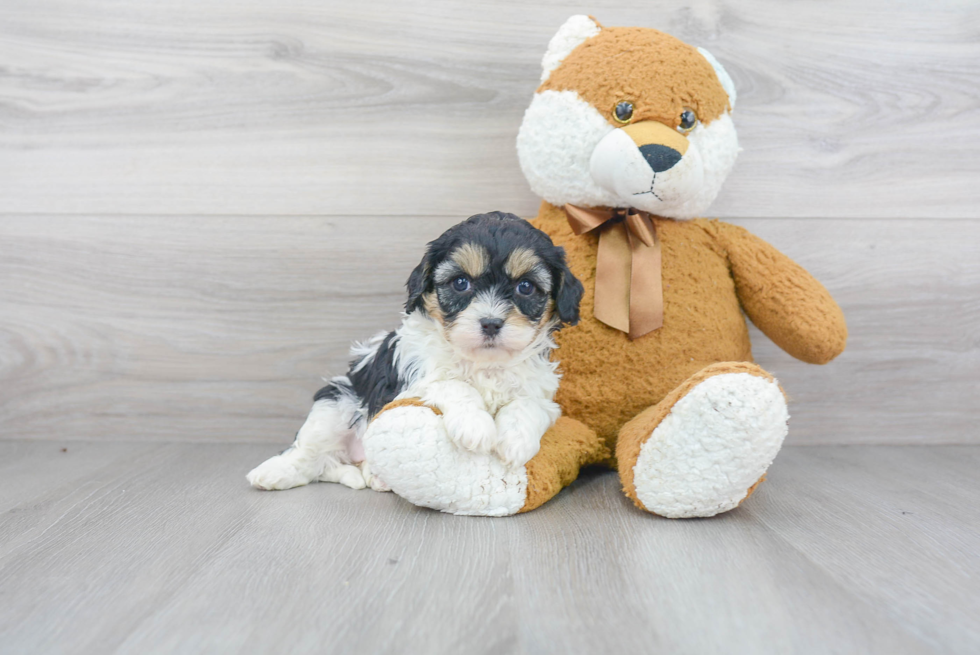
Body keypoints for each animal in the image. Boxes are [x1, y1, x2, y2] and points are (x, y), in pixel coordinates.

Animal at [247, 211, 580, 492]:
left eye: (526, 287)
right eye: (460, 283)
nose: (491, 322)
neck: (483, 363)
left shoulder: (543, 394)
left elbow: (528, 404)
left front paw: (516, 441)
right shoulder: (408, 384)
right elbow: (453, 384)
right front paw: (475, 426)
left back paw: (373, 476)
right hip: (335, 403)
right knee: (311, 456)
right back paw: (275, 472)